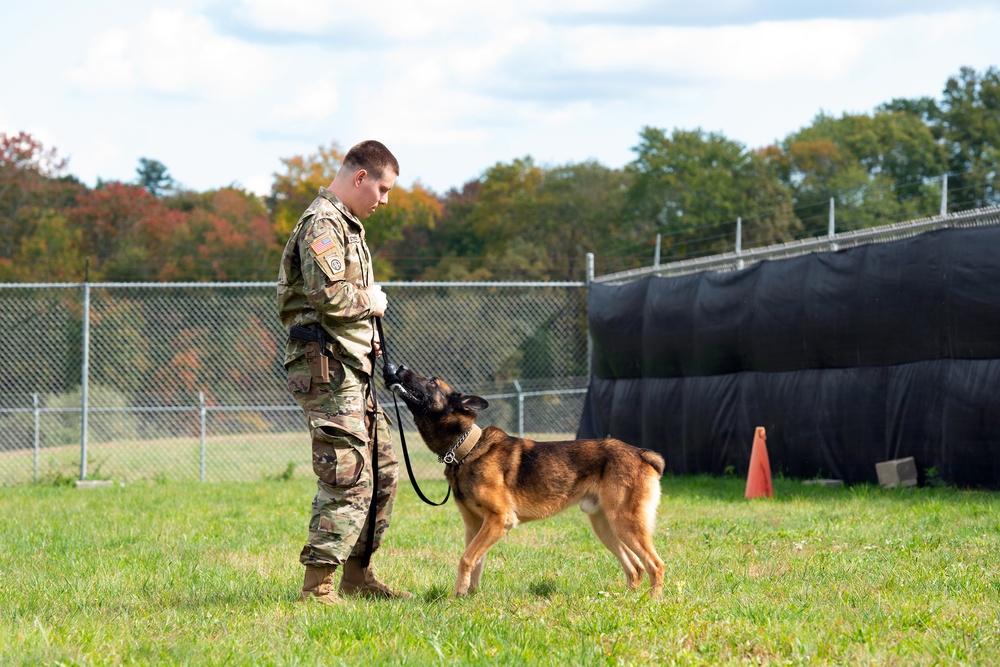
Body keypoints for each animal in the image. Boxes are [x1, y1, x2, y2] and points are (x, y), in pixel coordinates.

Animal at [390, 368, 664, 596]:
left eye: (432, 381)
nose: (399, 368)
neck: (467, 449)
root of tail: (640, 453)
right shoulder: (475, 525)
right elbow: (475, 562)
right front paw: (467, 597)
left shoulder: (499, 519)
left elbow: (466, 558)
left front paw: (457, 595)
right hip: (606, 526)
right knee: (636, 567)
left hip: (625, 523)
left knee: (655, 564)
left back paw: (653, 601)